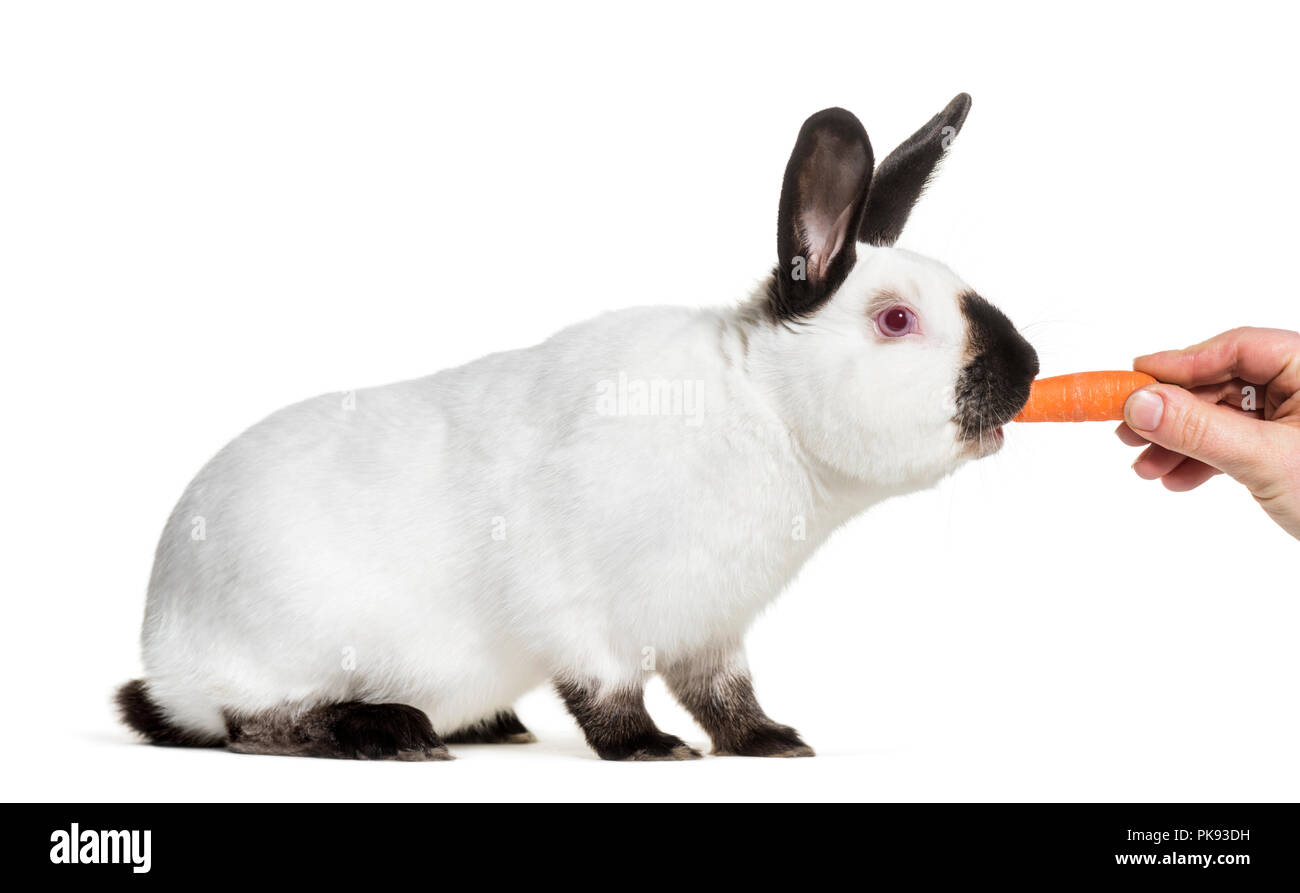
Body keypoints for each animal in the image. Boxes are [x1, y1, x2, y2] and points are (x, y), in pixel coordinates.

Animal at [116, 93, 1038, 761]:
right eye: (895, 320)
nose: (1028, 369)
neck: (763, 408)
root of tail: (161, 635)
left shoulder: (712, 629)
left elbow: (725, 695)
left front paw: (772, 742)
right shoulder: (574, 604)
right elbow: (606, 691)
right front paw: (650, 750)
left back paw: (490, 725)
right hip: (266, 663)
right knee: (243, 723)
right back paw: (389, 732)